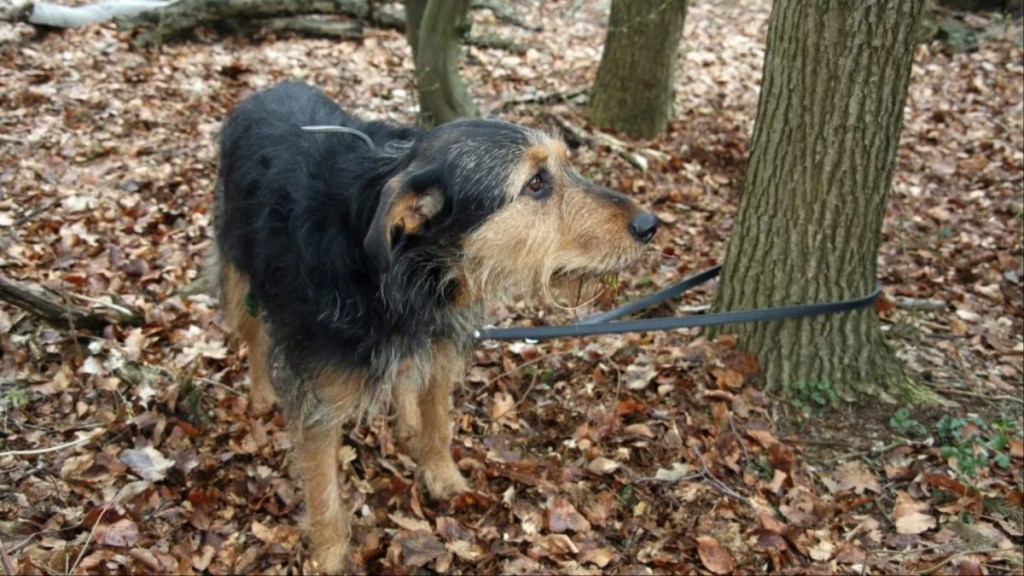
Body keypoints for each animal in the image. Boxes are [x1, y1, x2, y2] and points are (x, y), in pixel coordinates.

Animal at [208, 80, 659, 569]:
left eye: (563, 164)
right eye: (536, 183)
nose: (650, 223)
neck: (407, 270)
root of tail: (271, 87)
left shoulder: (441, 340)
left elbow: (438, 419)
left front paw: (442, 476)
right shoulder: (318, 400)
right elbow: (323, 492)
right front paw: (328, 557)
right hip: (237, 269)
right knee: (252, 331)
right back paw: (260, 392)